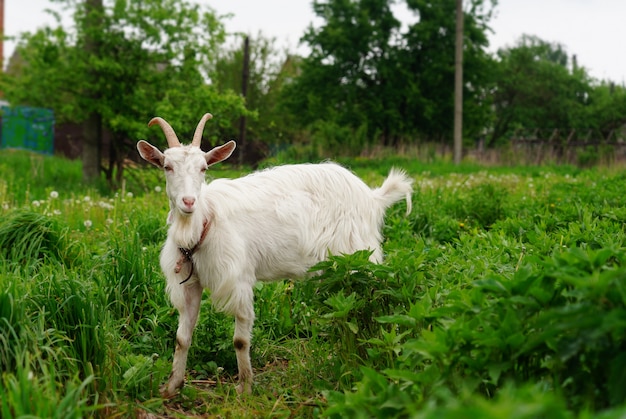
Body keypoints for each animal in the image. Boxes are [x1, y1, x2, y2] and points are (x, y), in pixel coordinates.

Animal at [134, 114, 412, 398]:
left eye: (203, 168)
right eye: (167, 166)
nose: (188, 202)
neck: (202, 223)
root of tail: (373, 197)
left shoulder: (239, 279)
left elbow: (240, 340)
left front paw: (245, 388)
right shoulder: (190, 283)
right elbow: (182, 338)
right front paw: (171, 386)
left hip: (361, 256)